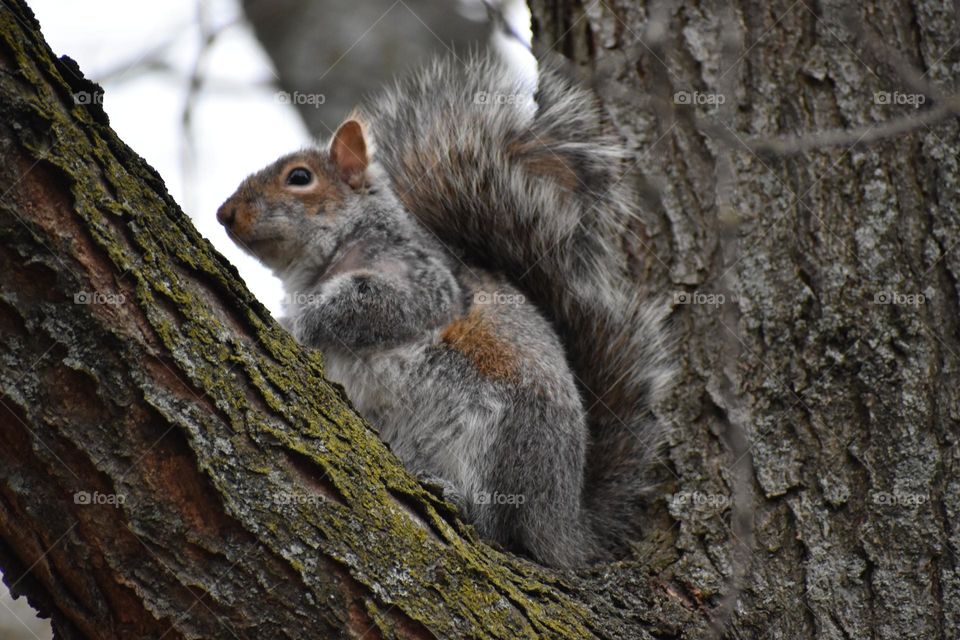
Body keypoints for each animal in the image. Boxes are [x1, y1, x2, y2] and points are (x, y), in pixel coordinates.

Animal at [216, 53, 673, 568]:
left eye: (299, 178)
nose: (224, 214)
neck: (315, 270)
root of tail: (563, 522)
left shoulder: (426, 281)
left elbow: (376, 304)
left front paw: (306, 323)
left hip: (504, 437)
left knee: (500, 527)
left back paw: (459, 500)